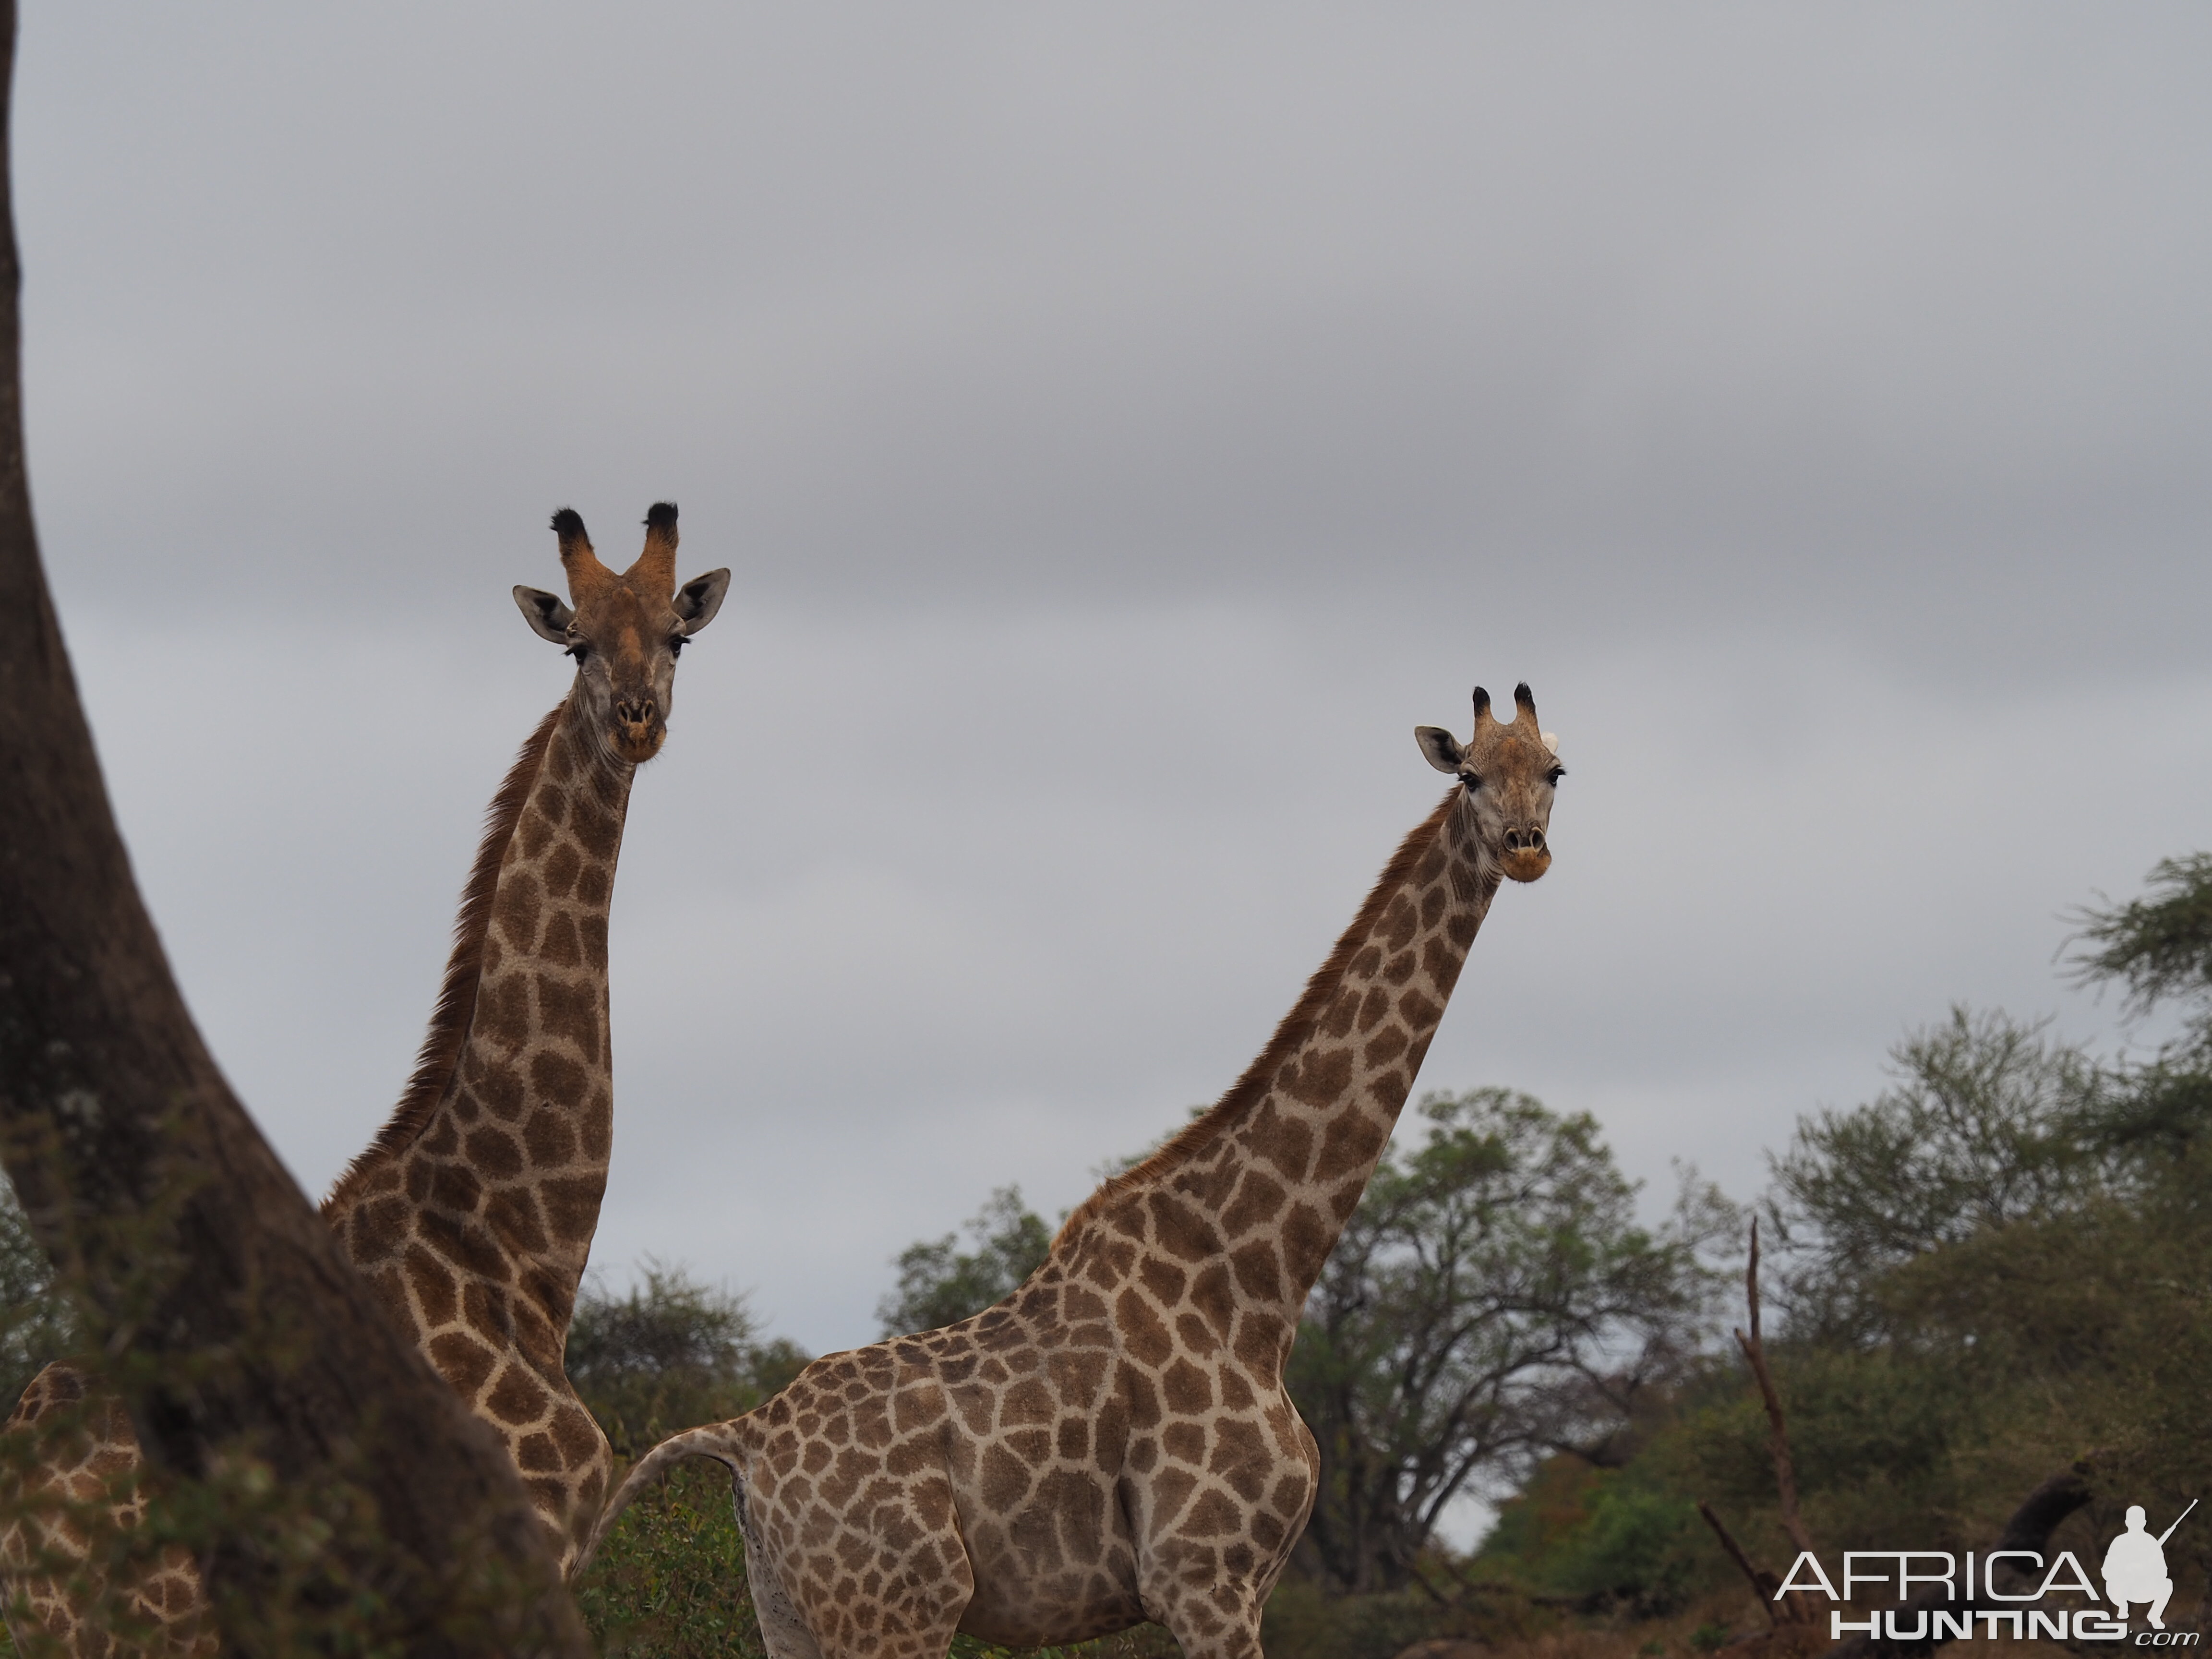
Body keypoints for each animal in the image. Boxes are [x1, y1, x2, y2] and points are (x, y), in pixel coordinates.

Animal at [579, 681, 1566, 1654]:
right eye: (1470, 776)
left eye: (1556, 771)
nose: (1526, 852)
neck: (1259, 1281)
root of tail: (745, 1440)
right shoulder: (1205, 1579)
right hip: (896, 1611)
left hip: (789, 1611)